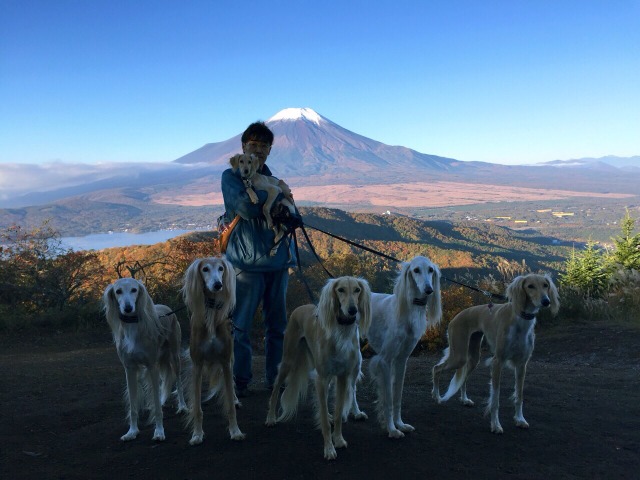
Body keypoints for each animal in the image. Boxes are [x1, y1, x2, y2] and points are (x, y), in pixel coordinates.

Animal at [102, 278, 186, 442]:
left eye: (134, 290)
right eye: (118, 291)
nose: (128, 308)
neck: (132, 328)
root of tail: (165, 307)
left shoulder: (152, 365)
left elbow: (157, 407)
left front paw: (159, 431)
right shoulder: (130, 369)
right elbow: (133, 406)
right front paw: (132, 431)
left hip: (174, 356)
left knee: (178, 381)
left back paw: (182, 406)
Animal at [180, 256, 245, 444]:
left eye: (221, 268)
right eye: (205, 269)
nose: (217, 285)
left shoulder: (225, 362)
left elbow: (230, 404)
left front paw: (235, 431)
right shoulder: (197, 365)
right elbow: (197, 408)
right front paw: (197, 434)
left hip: (231, 359)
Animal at [264, 278, 372, 462]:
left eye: (357, 290)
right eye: (341, 290)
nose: (352, 310)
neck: (341, 331)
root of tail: (301, 307)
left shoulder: (342, 376)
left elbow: (338, 412)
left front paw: (338, 439)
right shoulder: (321, 377)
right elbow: (323, 416)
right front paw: (328, 448)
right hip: (288, 360)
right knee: (276, 388)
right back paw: (271, 417)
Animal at [364, 255, 440, 438]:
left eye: (431, 270)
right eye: (416, 270)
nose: (429, 289)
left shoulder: (401, 360)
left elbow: (397, 395)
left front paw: (400, 424)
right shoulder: (385, 360)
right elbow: (389, 399)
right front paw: (392, 429)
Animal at [430, 274, 560, 436]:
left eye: (545, 285)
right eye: (530, 286)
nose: (546, 301)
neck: (520, 320)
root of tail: (456, 316)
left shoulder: (522, 364)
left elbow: (519, 395)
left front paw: (519, 419)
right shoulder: (498, 361)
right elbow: (495, 398)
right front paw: (496, 425)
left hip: (473, 357)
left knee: (463, 377)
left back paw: (464, 399)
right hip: (459, 356)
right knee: (436, 368)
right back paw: (437, 397)